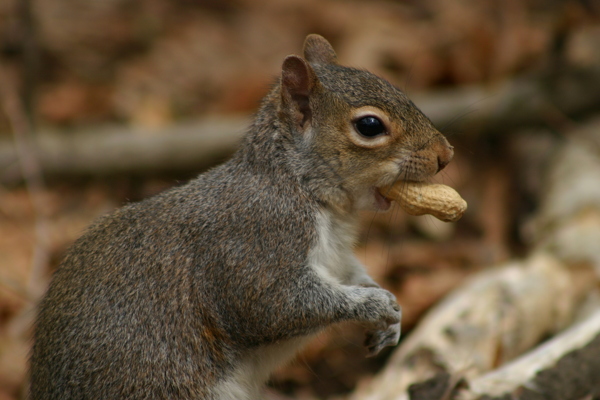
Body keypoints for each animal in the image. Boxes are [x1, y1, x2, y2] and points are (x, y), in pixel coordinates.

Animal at [28, 35, 450, 400]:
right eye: (369, 126)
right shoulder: (256, 241)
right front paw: (375, 305)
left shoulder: (339, 257)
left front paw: (390, 314)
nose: (446, 155)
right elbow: (274, 304)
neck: (306, 191)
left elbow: (352, 274)